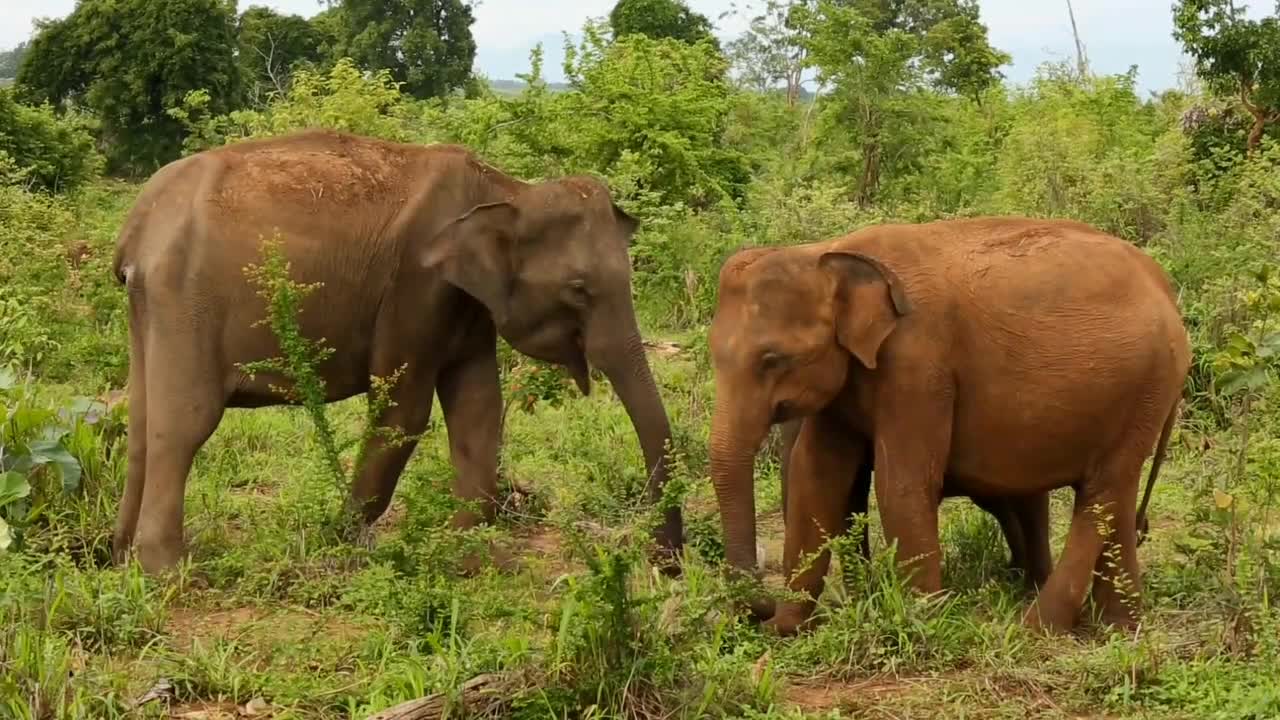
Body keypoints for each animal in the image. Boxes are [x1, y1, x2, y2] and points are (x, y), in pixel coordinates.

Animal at [110, 128, 686, 573]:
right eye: (580, 290)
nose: (666, 563)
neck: (506, 190)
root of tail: (137, 227)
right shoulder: (417, 284)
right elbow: (403, 414)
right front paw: (340, 540)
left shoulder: (465, 306)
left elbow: (479, 408)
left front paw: (466, 557)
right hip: (186, 299)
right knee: (185, 422)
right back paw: (168, 570)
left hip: (150, 308)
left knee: (140, 418)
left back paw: (119, 556)